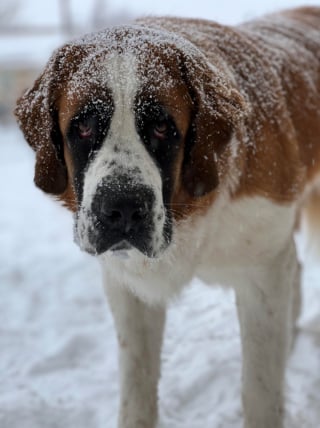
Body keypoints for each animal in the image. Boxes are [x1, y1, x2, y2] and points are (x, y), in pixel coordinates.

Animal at [15, 6, 320, 428]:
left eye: (162, 127)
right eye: (83, 126)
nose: (123, 208)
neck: (191, 213)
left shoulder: (263, 273)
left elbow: (260, 391)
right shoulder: (127, 287)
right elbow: (137, 383)